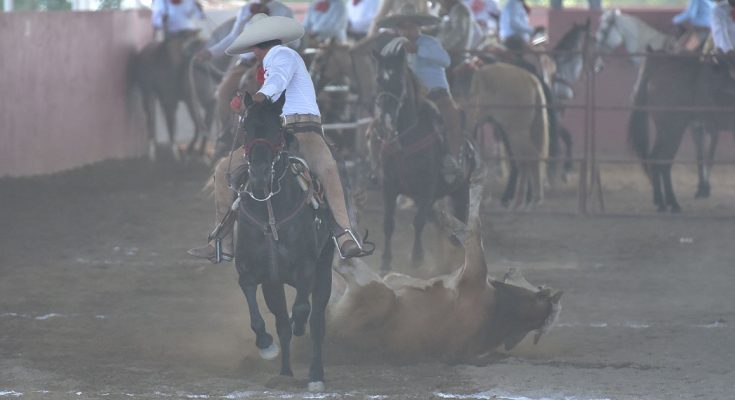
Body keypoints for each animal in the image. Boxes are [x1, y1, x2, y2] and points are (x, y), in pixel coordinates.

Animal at [328, 167, 564, 360]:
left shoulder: (475, 268)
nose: (513, 270)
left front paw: (477, 181)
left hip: (376, 292)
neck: (501, 310)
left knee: (341, 261)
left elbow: (475, 227)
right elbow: (466, 229)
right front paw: (448, 218)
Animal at [468, 61, 548, 209]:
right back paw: (521, 201)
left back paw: (531, 200)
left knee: (529, 158)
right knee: (524, 161)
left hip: (516, 133)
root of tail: (530, 78)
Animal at [628, 52, 735, 212]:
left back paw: (666, 202)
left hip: (668, 131)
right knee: (661, 161)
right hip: (673, 130)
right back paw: (668, 204)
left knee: (660, 162)